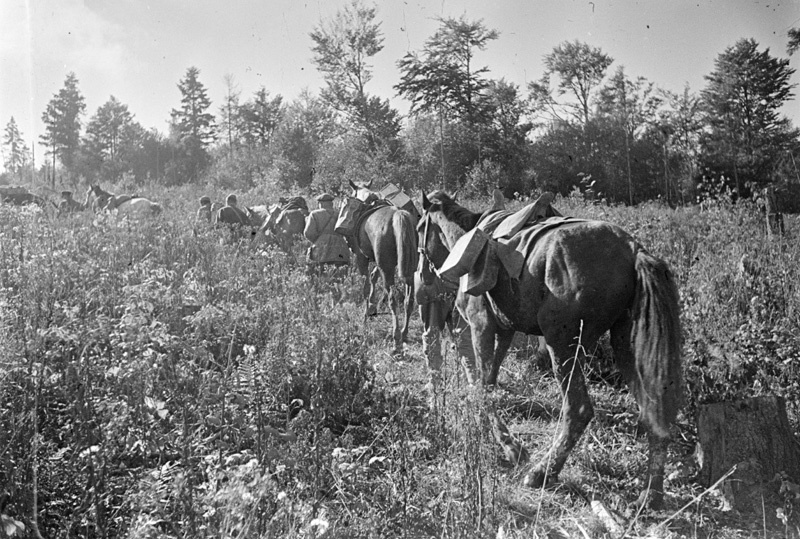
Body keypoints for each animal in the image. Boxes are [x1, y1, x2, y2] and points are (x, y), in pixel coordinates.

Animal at [416, 192, 684, 508]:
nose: (422, 281)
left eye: (420, 228)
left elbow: (481, 385)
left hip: (563, 347)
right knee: (654, 413)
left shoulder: (481, 325)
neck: (469, 239)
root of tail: (634, 251)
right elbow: (488, 384)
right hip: (627, 349)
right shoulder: (504, 329)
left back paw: (543, 472)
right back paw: (651, 494)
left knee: (578, 410)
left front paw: (510, 447)